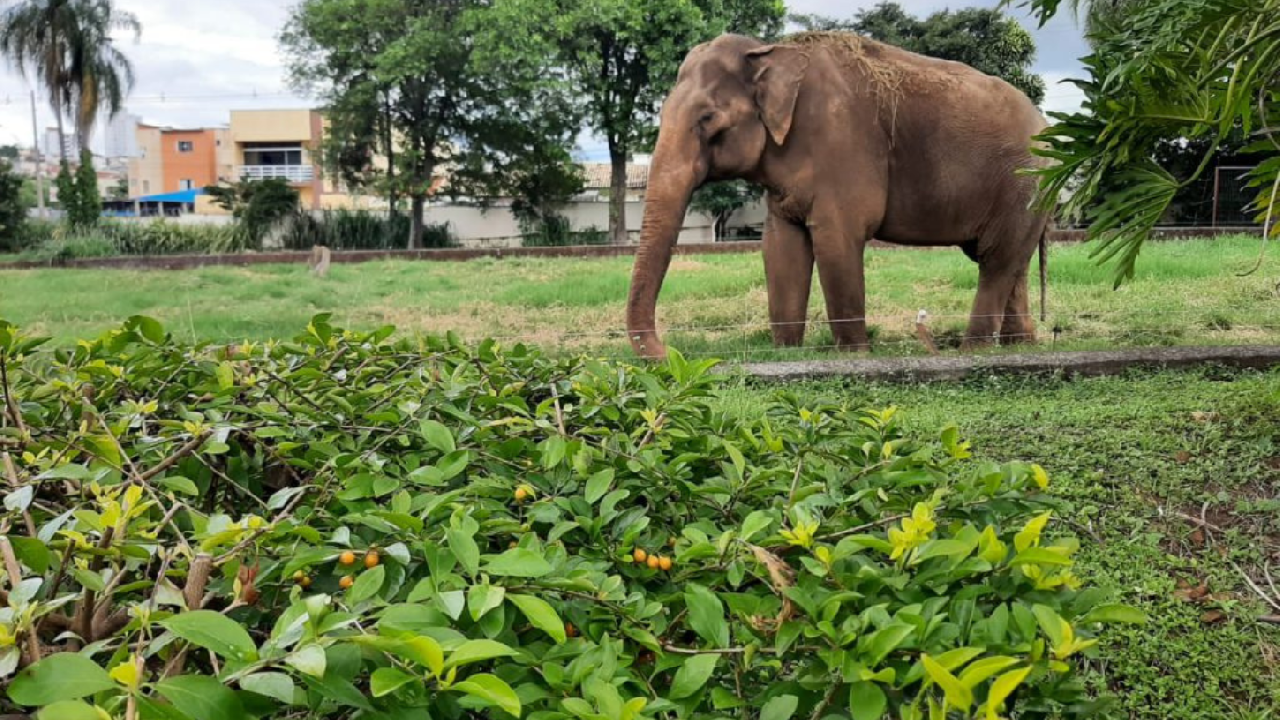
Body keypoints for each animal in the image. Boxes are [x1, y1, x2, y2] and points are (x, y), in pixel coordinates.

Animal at [625, 31, 1052, 360]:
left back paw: (973, 350)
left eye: (708, 119)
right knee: (1010, 262)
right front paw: (786, 353)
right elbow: (780, 248)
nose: (670, 354)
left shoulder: (841, 144)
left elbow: (836, 242)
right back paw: (1019, 345)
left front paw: (855, 355)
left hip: (1023, 184)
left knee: (996, 262)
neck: (771, 51)